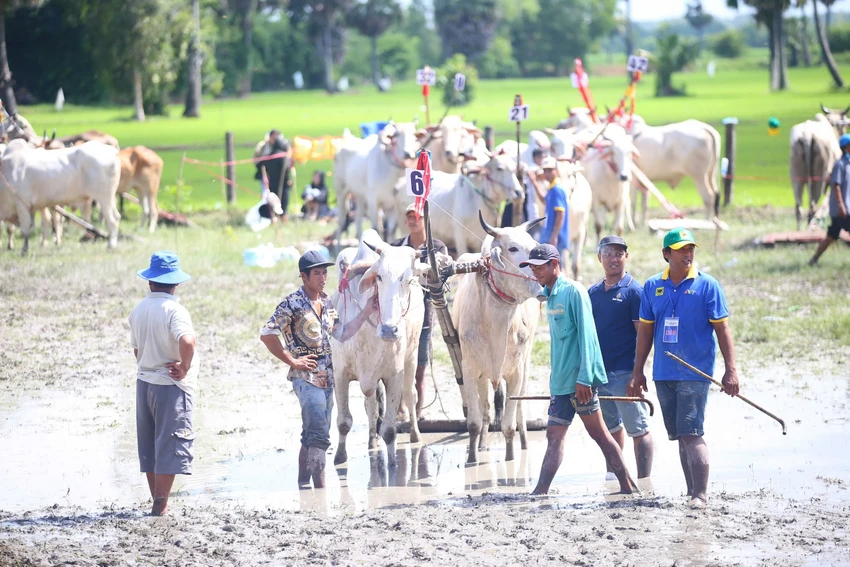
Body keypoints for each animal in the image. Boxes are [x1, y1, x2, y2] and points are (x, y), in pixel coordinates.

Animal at [328, 229, 428, 468]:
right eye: (379, 277)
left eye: (408, 280)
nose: (390, 330)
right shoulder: (340, 373)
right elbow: (344, 421)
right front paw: (340, 457)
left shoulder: (394, 375)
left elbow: (390, 430)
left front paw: (392, 465)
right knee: (371, 406)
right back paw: (372, 442)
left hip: (412, 357)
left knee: (410, 396)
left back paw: (415, 437)